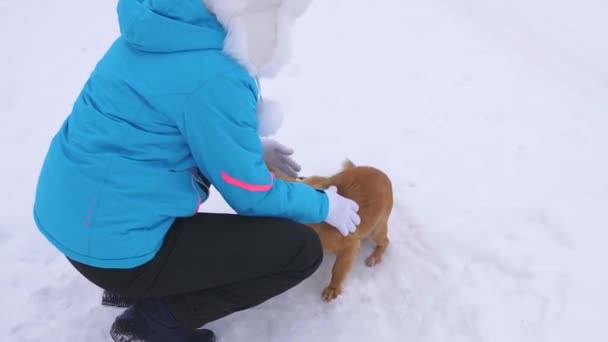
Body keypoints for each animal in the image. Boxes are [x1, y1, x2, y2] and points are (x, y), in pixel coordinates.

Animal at [270, 160, 392, 302]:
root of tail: (382, 174)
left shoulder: (350, 244)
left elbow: (338, 269)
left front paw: (333, 288)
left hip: (376, 230)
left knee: (385, 242)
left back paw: (374, 257)